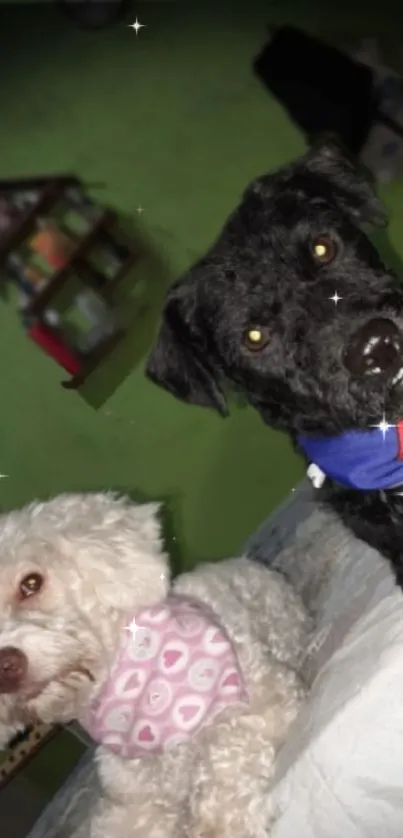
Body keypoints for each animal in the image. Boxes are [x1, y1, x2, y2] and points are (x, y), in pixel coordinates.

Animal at [0, 496, 310, 836]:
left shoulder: (264, 696)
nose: (6, 666)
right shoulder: (134, 799)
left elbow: (227, 755)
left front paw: (216, 823)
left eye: (31, 583)